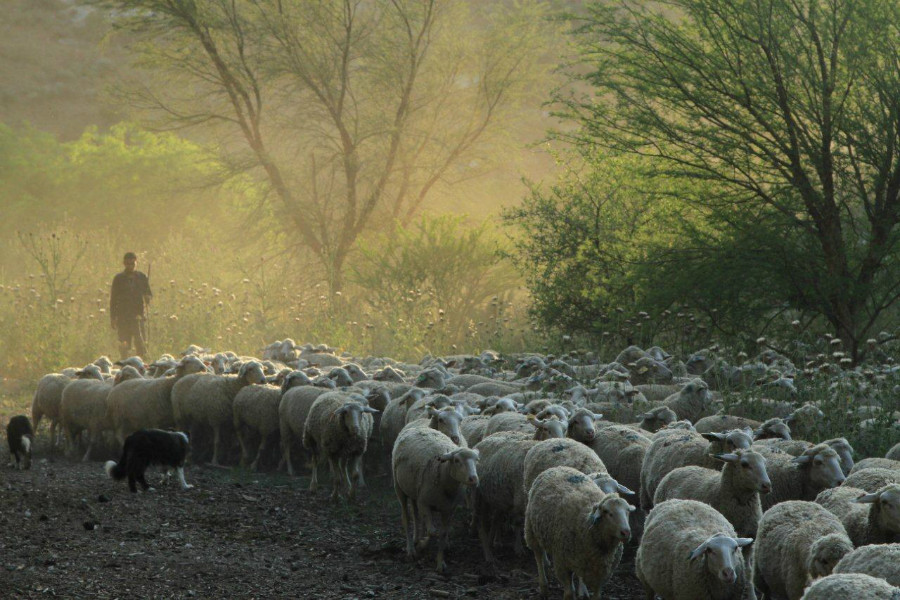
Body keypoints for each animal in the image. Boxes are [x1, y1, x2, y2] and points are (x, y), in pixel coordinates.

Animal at [392, 426, 482, 572]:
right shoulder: (424, 503)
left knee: (416, 515)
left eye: (476, 460)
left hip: (414, 490)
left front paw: (440, 562)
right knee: (406, 518)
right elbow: (433, 532)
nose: (473, 479)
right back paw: (411, 549)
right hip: (399, 488)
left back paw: (417, 537)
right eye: (457, 461)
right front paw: (423, 545)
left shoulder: (448, 509)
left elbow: (442, 533)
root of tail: (417, 426)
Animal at [520, 464, 632, 600]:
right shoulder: (562, 561)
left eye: (627, 511)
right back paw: (544, 586)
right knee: (538, 556)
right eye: (608, 512)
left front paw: (582, 591)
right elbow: (569, 593)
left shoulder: (598, 570)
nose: (626, 532)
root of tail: (557, 467)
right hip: (531, 530)